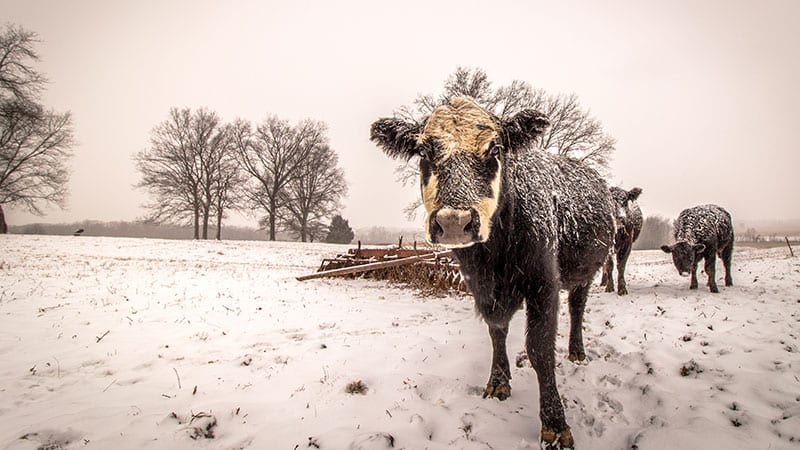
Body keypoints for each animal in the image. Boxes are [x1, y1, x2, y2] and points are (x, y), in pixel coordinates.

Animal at [368, 96, 612, 448]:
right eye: (424, 151)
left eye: (495, 149)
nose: (454, 221)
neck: (494, 256)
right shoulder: (480, 284)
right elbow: (497, 330)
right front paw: (498, 381)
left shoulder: (543, 283)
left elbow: (539, 348)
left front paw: (554, 424)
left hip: (586, 272)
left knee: (577, 307)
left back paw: (576, 351)